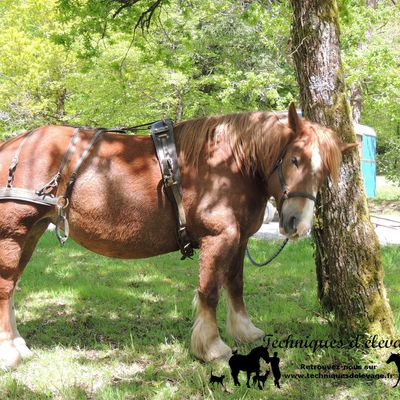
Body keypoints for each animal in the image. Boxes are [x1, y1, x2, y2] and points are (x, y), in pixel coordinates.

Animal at [0, 104, 356, 368]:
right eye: (294, 159)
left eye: (324, 172)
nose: (297, 223)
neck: (232, 165)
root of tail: (14, 145)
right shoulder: (219, 237)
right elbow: (210, 292)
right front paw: (212, 347)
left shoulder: (239, 238)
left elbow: (236, 286)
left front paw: (244, 331)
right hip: (14, 233)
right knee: (6, 288)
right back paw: (9, 353)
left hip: (31, 232)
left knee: (13, 287)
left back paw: (19, 344)